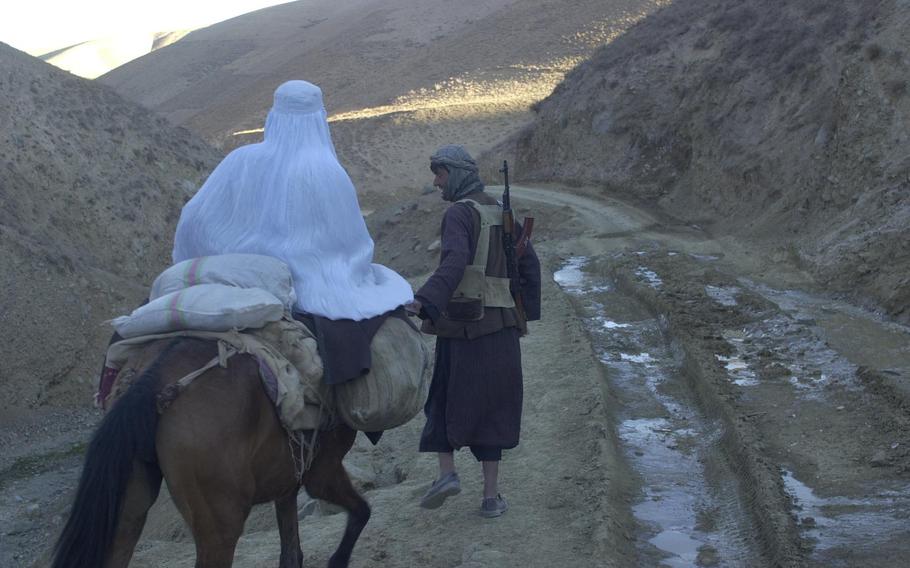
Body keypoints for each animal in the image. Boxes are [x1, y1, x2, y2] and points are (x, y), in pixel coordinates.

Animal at [50, 340, 368, 564]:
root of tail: (153, 377)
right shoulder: (322, 472)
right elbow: (361, 511)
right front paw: (337, 561)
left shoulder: (287, 483)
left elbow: (291, 553)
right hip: (221, 523)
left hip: (128, 507)